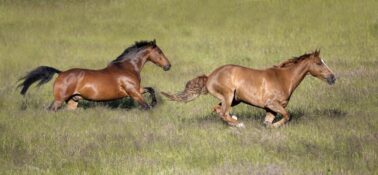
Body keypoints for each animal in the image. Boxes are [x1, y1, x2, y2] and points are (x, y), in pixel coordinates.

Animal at [18, 39, 171, 110]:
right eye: (159, 52)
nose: (168, 66)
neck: (127, 67)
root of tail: (61, 73)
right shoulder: (133, 92)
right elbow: (145, 106)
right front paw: (152, 106)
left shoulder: (137, 89)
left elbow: (151, 89)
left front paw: (154, 102)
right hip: (59, 100)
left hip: (73, 101)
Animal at [161, 50, 336, 128]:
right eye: (319, 63)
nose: (333, 77)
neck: (285, 78)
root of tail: (210, 76)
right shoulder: (272, 104)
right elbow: (287, 116)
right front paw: (275, 127)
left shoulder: (270, 109)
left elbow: (269, 121)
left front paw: (269, 127)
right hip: (228, 96)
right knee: (223, 112)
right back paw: (239, 124)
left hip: (234, 99)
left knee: (218, 110)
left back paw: (234, 121)